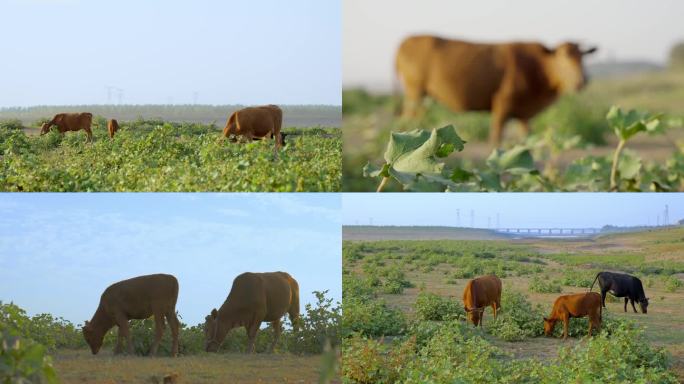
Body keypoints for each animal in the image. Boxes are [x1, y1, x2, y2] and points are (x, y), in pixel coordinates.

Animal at [396, 36, 600, 144]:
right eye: (564, 57)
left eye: (582, 57)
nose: (582, 80)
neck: (538, 68)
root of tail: (406, 42)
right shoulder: (502, 102)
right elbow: (496, 136)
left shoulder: (525, 115)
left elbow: (526, 137)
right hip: (414, 92)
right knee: (408, 116)